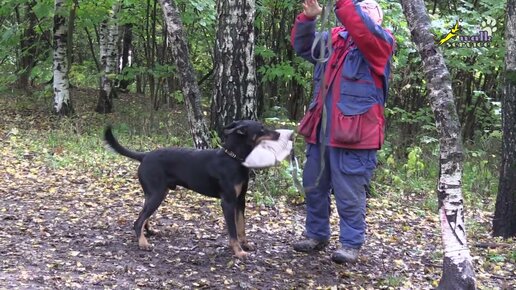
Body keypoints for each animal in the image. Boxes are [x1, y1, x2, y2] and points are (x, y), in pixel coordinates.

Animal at [102, 120, 278, 258]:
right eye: (261, 128)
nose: (278, 134)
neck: (233, 159)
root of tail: (144, 156)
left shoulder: (240, 200)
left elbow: (241, 226)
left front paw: (246, 244)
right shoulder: (228, 202)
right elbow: (233, 231)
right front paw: (239, 252)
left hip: (155, 193)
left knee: (144, 217)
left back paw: (150, 233)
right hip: (157, 194)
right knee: (138, 221)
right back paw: (143, 243)